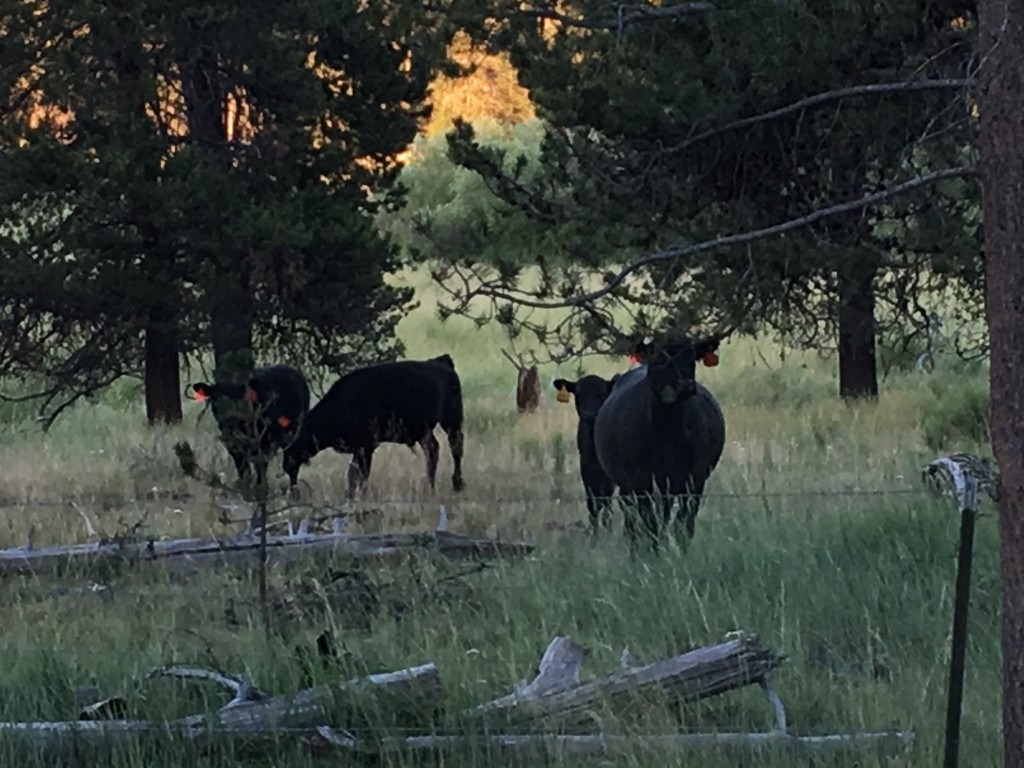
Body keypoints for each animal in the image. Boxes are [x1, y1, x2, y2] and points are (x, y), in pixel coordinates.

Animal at [189, 362, 307, 493]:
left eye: (238, 399)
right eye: (215, 400)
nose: (228, 419)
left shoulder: (263, 442)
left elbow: (260, 467)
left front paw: (261, 488)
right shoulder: (233, 446)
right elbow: (243, 471)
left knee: (292, 464)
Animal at [284, 354, 468, 499]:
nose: (294, 493)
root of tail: (440, 362)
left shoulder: (366, 446)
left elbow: (359, 473)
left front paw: (359, 496)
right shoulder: (360, 448)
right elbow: (355, 473)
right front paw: (351, 495)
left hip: (452, 420)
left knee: (455, 446)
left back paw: (457, 484)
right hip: (424, 431)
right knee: (433, 449)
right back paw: (430, 487)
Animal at [552, 376, 614, 536]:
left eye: (602, 394)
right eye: (578, 394)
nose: (589, 414)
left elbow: (606, 501)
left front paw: (608, 529)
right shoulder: (585, 468)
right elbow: (591, 504)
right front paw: (595, 534)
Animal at [593, 339, 729, 548]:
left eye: (692, 355)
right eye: (658, 356)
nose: (686, 385)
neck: (667, 432)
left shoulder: (695, 479)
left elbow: (684, 523)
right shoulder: (641, 480)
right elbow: (650, 523)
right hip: (627, 486)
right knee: (632, 521)